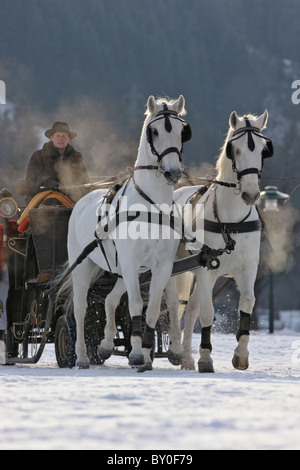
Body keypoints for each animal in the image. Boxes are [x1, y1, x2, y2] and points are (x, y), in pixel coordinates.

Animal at [67, 94, 191, 368]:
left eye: (182, 131)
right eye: (154, 131)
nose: (173, 172)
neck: (151, 206)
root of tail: (82, 200)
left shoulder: (162, 265)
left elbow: (152, 307)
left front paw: (144, 353)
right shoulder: (132, 261)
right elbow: (135, 304)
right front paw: (136, 353)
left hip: (122, 270)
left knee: (110, 300)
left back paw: (104, 346)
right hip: (82, 265)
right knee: (80, 308)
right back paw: (81, 356)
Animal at [173, 109, 274, 370]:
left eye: (263, 150)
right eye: (234, 149)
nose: (251, 194)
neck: (232, 221)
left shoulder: (248, 268)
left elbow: (247, 302)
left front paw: (241, 354)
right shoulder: (207, 269)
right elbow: (208, 312)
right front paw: (206, 357)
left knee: (190, 309)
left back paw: (186, 359)